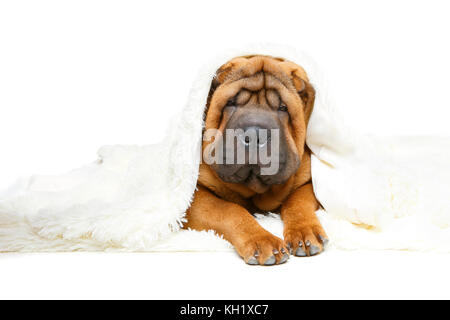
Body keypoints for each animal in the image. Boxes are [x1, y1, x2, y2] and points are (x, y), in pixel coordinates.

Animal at [183, 54, 326, 264]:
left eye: (283, 107)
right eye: (230, 103)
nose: (255, 134)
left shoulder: (309, 181)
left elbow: (297, 202)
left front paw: (304, 232)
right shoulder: (194, 196)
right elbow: (228, 210)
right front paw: (262, 241)